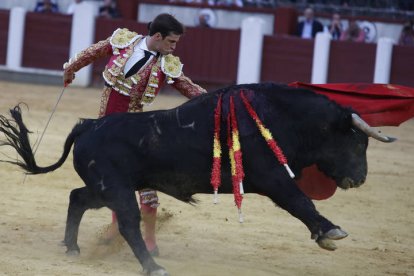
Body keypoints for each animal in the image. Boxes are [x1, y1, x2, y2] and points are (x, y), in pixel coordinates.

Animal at [0, 83, 394, 276]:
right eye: (357, 141)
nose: (360, 178)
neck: (282, 115)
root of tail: (88, 124)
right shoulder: (272, 177)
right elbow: (300, 201)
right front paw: (330, 232)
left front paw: (325, 235)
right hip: (116, 190)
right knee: (127, 223)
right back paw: (153, 267)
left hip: (105, 190)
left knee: (77, 197)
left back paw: (73, 247)